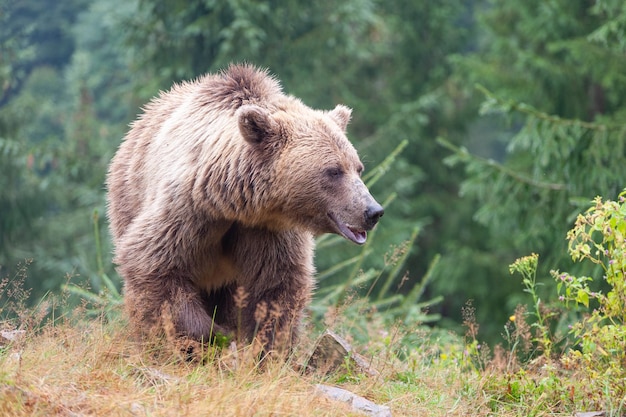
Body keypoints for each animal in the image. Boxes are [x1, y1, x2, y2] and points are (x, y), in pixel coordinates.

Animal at [106, 64, 380, 352]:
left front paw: (265, 344)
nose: (372, 211)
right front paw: (213, 335)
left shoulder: (267, 231)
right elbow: (153, 265)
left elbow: (275, 288)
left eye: (358, 168)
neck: (235, 204)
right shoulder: (188, 212)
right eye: (333, 171)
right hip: (127, 197)